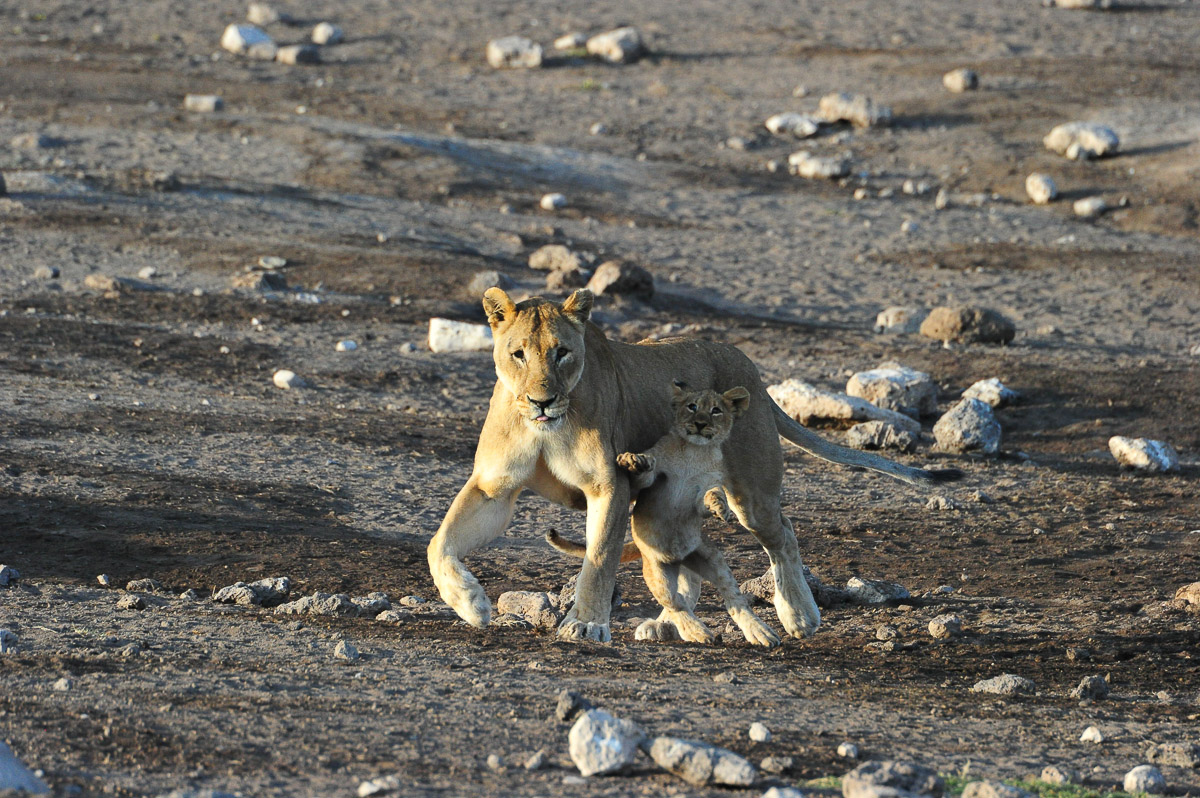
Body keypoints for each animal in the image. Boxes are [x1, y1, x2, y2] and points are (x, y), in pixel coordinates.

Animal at [546, 382, 782, 647]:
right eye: (692, 406)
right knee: (675, 602)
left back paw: (760, 632)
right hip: (656, 572)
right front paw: (634, 460)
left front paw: (719, 506)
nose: (700, 423)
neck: (695, 451)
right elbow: (647, 472)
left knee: (733, 598)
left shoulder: (708, 483)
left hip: (710, 558)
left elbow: (710, 494)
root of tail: (678, 559)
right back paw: (698, 632)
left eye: (716, 410)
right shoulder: (652, 481)